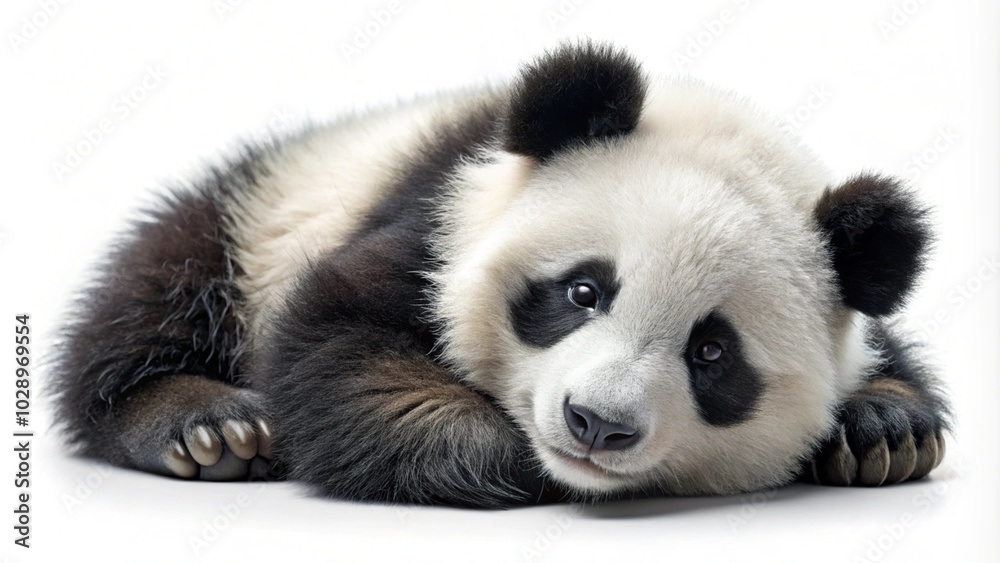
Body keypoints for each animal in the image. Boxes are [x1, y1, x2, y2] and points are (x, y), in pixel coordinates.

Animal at [52, 42, 950, 507]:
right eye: (583, 291)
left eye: (711, 352)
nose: (596, 424)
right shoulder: (434, 222)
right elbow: (340, 348)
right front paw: (508, 454)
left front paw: (884, 427)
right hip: (255, 216)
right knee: (153, 295)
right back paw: (203, 423)